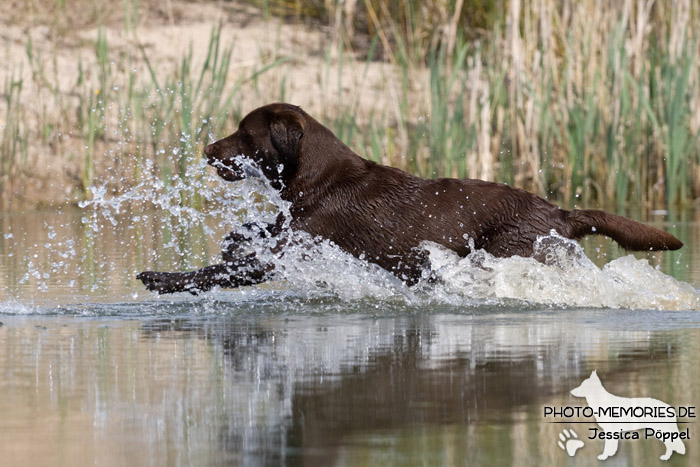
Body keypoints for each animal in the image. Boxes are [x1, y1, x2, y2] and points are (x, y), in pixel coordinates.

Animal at [138, 104, 684, 294]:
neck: (321, 179)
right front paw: (235, 235)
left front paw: (160, 278)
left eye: (243, 132)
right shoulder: (289, 226)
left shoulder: (296, 244)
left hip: (508, 252)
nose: (207, 150)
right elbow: (251, 235)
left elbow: (217, 271)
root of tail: (560, 213)